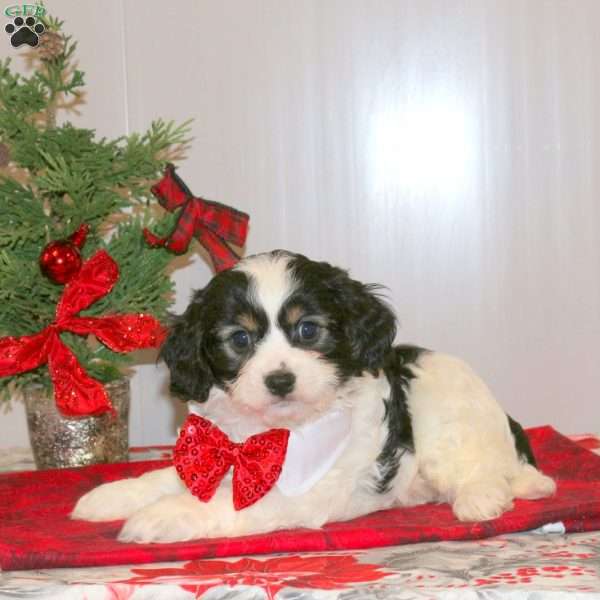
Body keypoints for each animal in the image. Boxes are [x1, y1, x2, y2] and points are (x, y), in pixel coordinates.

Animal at [72, 250, 556, 544]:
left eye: (308, 330)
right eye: (240, 339)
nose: (280, 380)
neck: (270, 431)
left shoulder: (305, 492)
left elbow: (228, 502)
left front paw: (162, 516)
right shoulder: (212, 450)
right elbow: (170, 477)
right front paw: (113, 496)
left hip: (444, 412)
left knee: (483, 468)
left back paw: (480, 498)